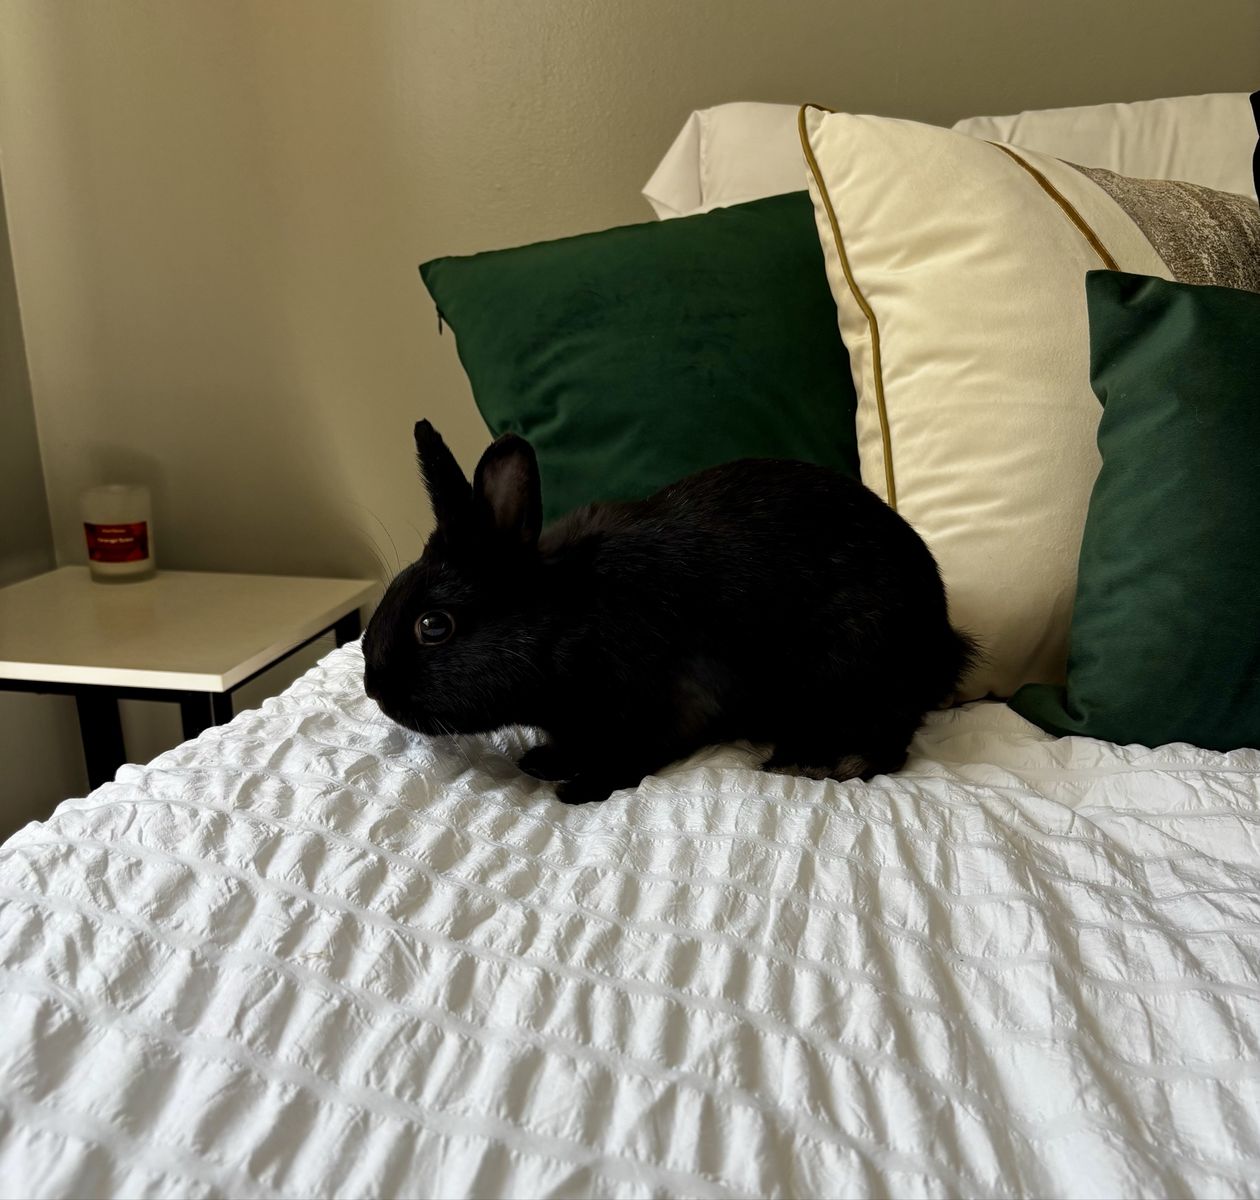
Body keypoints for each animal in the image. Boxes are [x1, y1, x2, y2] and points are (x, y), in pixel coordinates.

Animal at [362, 420, 979, 804]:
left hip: (850, 671)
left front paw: (578, 788)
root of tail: (943, 640)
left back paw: (807, 763)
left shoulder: (672, 702)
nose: (372, 688)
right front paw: (545, 760)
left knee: (888, 744)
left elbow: (633, 755)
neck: (565, 616)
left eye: (433, 626)